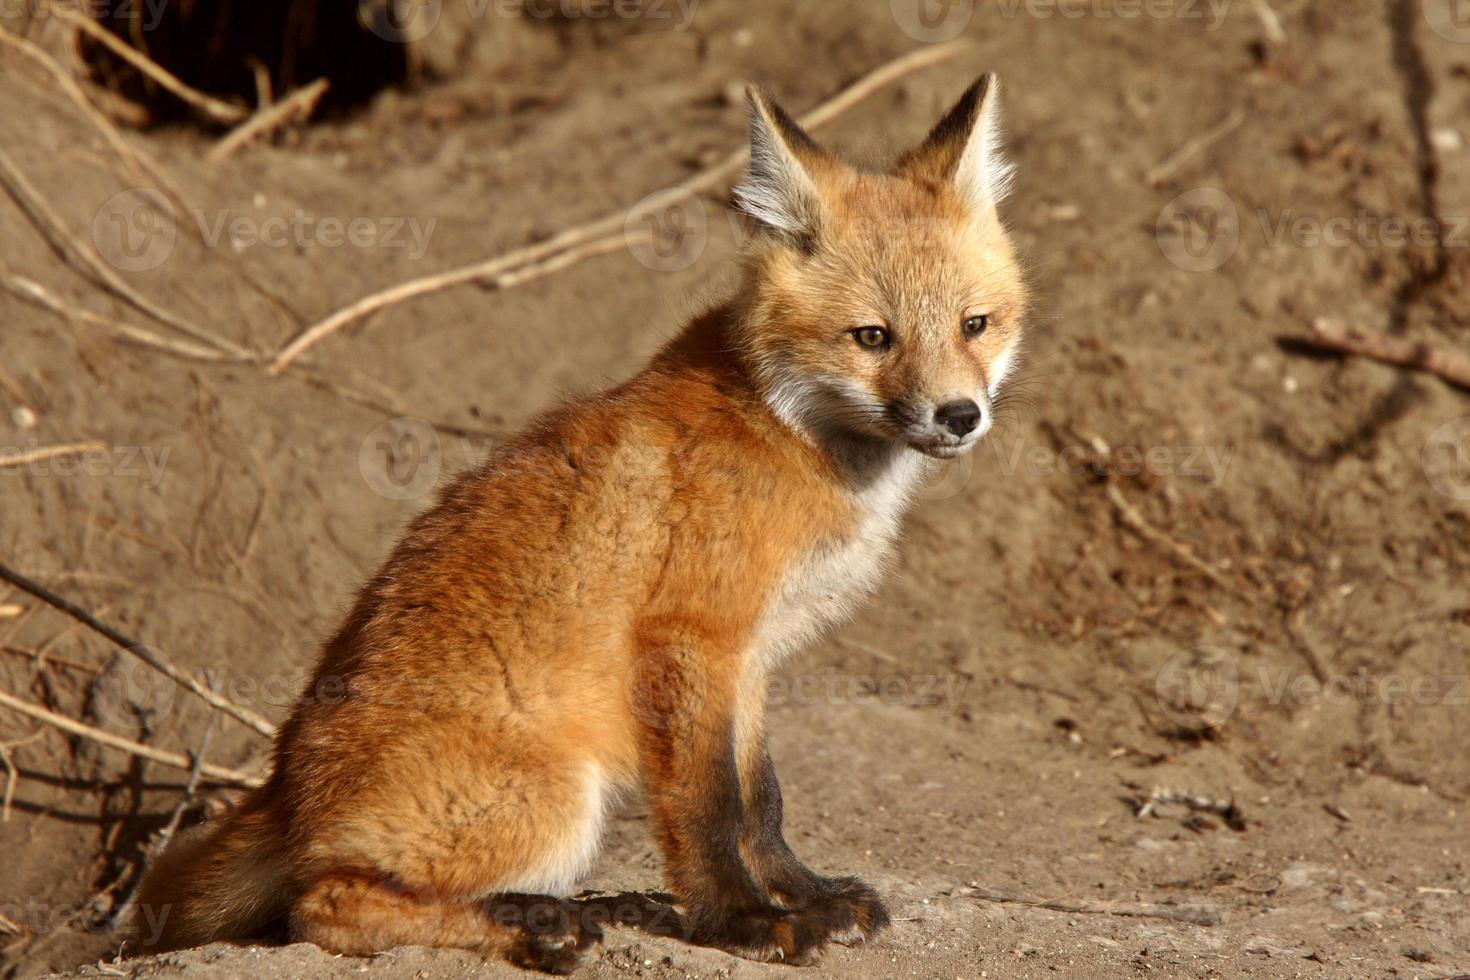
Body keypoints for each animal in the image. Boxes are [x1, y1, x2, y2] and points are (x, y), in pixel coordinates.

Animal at [132, 72, 1029, 969]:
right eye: (872, 337)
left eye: (974, 324)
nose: (960, 416)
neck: (791, 427)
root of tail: (283, 789)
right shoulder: (688, 640)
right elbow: (708, 809)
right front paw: (739, 920)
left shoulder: (749, 656)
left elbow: (761, 800)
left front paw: (804, 893)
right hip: (558, 799)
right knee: (324, 908)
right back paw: (534, 926)